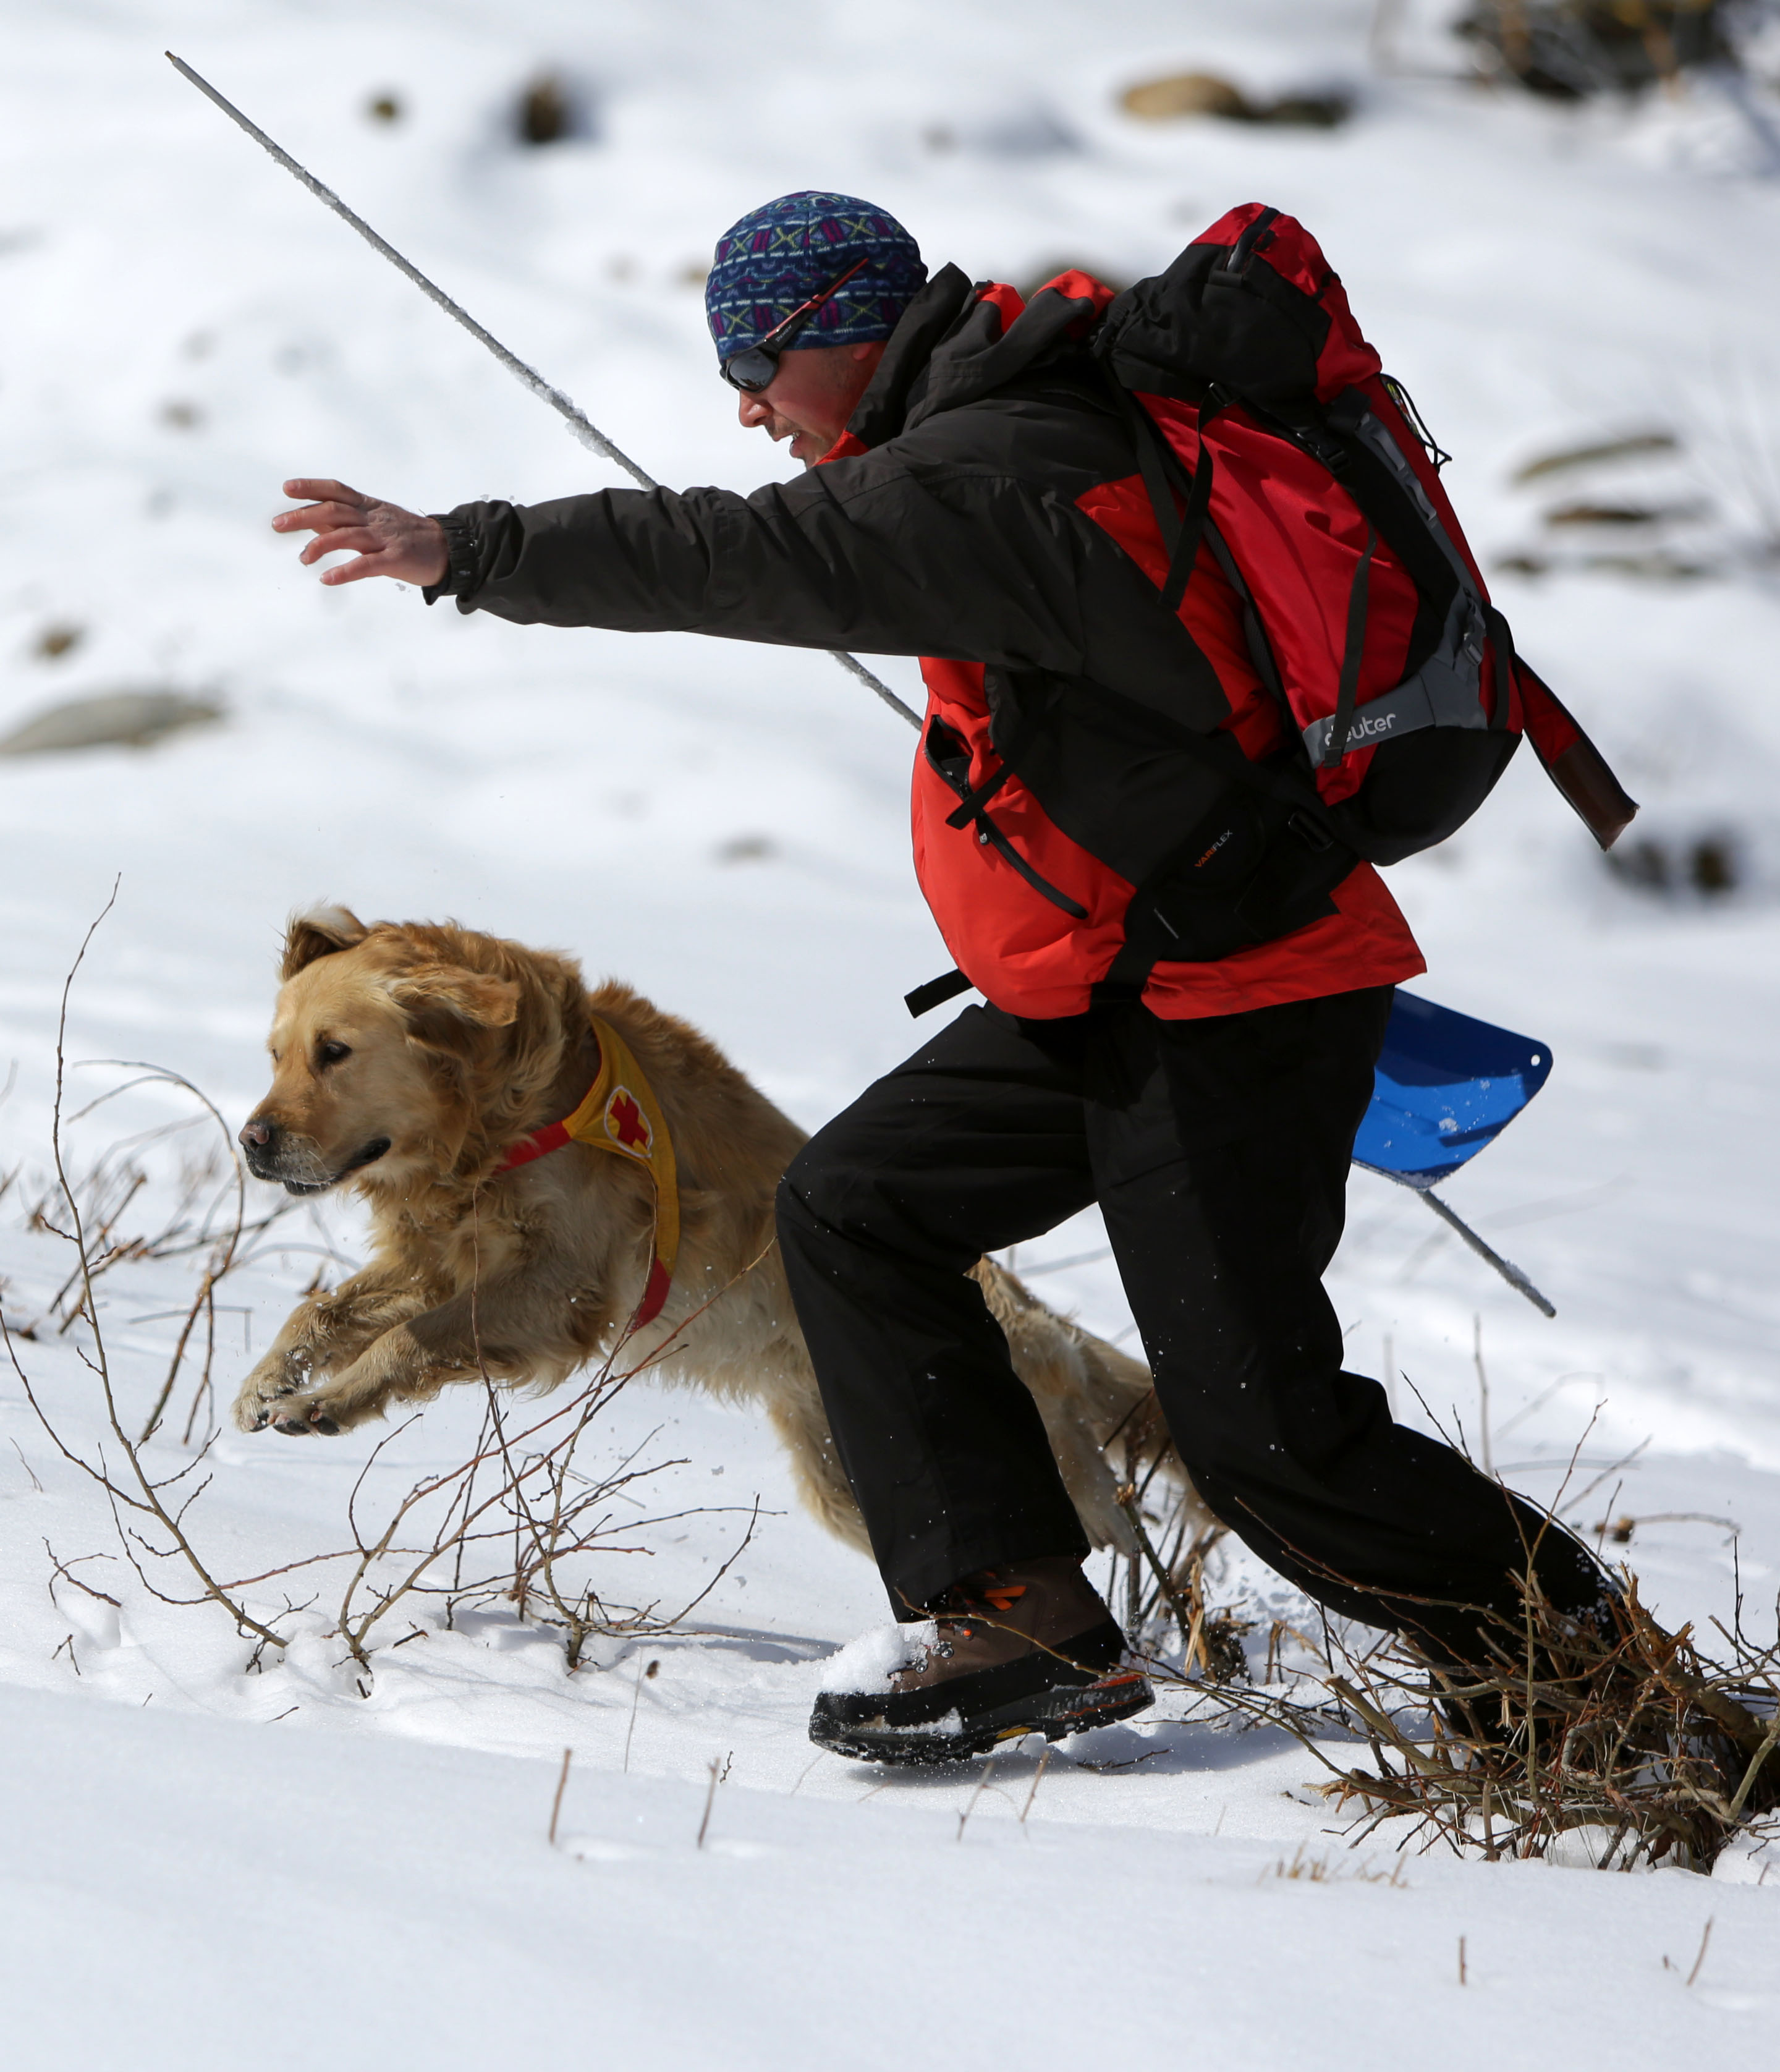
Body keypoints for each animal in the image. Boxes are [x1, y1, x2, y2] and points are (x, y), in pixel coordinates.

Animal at [226, 907, 1193, 1558]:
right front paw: (271, 1379)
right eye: (273, 1055)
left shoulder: (559, 1290)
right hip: (847, 1479)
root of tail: (1046, 1324)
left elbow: (408, 1340)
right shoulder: (446, 1258)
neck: (504, 1109)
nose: (253, 1142)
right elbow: (321, 1309)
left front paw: (323, 1401)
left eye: (335, 1052)